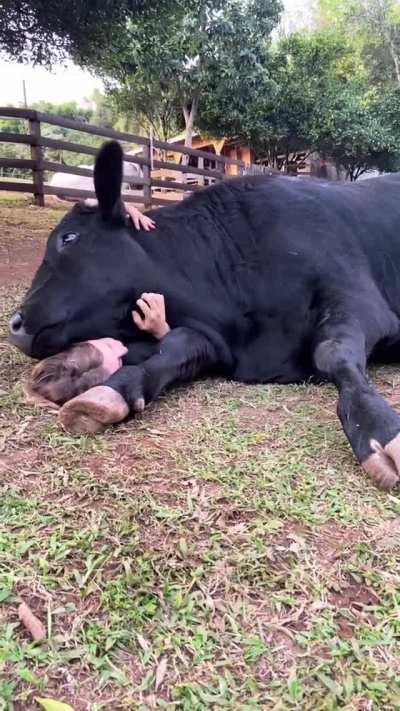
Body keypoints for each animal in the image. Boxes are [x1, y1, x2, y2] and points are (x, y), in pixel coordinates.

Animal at [8, 140, 400, 491]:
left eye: (68, 238)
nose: (14, 324)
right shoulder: (217, 341)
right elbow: (176, 346)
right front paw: (103, 384)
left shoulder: (359, 299)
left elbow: (333, 353)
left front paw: (380, 429)